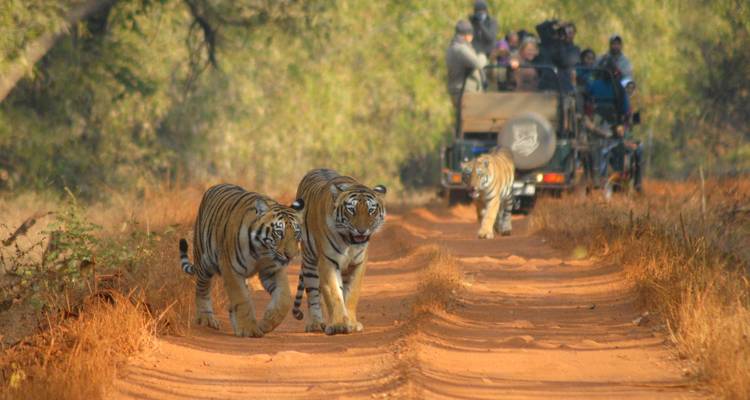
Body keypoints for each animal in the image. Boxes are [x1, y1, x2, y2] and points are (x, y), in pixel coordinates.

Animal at [178, 184, 304, 338]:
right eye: (279, 233)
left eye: (296, 233)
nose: (291, 256)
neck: (262, 250)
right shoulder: (231, 269)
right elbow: (241, 298)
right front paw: (249, 329)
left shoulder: (272, 269)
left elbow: (284, 299)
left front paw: (266, 323)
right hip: (204, 261)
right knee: (202, 289)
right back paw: (206, 319)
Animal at [291, 169, 386, 335]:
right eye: (351, 210)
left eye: (371, 210)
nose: (362, 230)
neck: (349, 242)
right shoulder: (328, 262)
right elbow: (334, 293)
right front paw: (338, 325)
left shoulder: (358, 263)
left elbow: (352, 293)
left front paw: (352, 324)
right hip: (309, 262)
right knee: (314, 293)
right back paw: (316, 324)